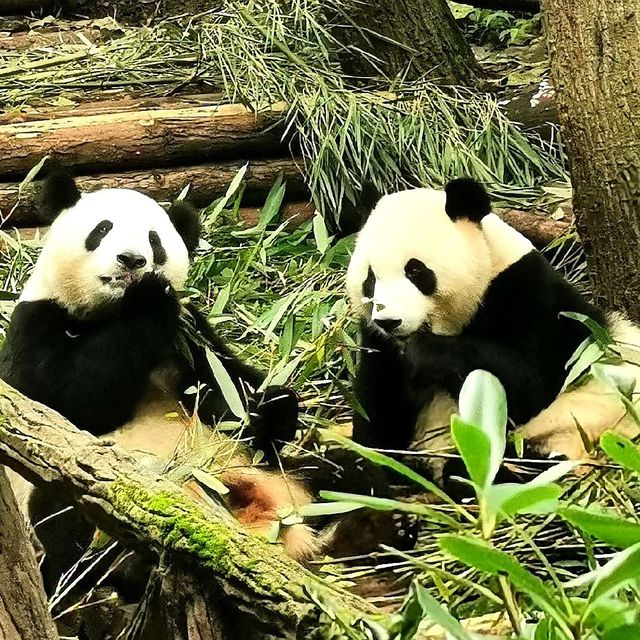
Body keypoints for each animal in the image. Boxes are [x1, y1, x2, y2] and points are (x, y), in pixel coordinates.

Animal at [0, 170, 316, 600]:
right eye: (102, 229)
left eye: (155, 240)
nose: (132, 260)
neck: (113, 309)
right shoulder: (37, 323)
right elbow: (65, 402)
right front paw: (148, 301)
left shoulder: (189, 335)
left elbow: (224, 392)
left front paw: (274, 406)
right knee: (64, 511)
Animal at [348, 175, 640, 484]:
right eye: (370, 278)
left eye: (415, 271)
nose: (389, 321)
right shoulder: (378, 346)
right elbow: (379, 415)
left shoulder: (533, 299)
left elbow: (529, 386)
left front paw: (424, 353)